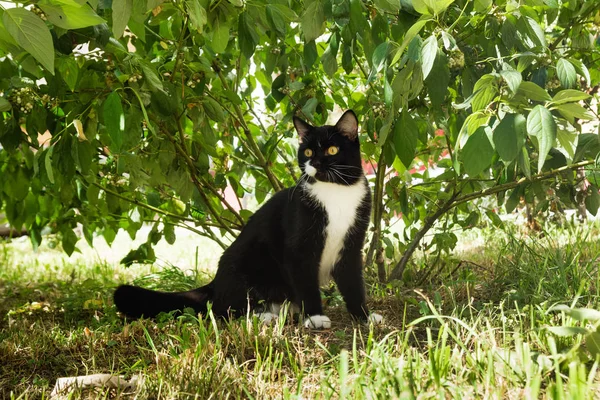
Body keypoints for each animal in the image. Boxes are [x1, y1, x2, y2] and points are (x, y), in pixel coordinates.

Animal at [115, 109, 382, 328]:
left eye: (332, 150)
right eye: (307, 151)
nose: (314, 163)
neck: (336, 193)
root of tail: (215, 284)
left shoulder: (351, 244)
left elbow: (353, 282)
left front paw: (364, 316)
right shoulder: (299, 245)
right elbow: (306, 281)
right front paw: (315, 316)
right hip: (247, 266)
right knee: (224, 310)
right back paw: (263, 315)